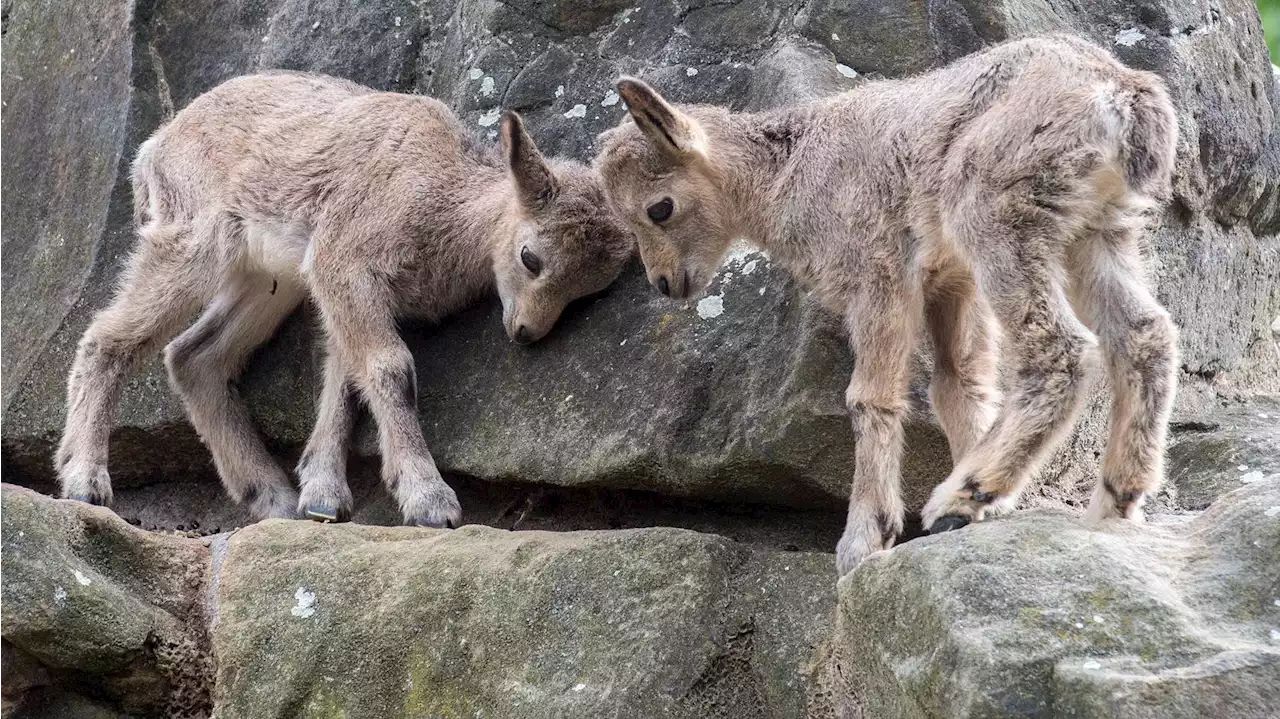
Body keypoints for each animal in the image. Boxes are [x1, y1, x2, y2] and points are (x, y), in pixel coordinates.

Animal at [56, 72, 634, 527]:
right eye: (530, 257)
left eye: (586, 292)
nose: (526, 331)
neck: (442, 196)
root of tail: (153, 149)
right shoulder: (346, 263)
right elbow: (389, 368)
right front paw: (430, 501)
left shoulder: (337, 287)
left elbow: (345, 378)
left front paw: (322, 496)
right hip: (190, 240)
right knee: (108, 337)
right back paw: (85, 480)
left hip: (268, 280)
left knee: (193, 356)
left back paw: (271, 495)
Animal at [596, 33, 1177, 573]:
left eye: (659, 208)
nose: (665, 282)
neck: (789, 176)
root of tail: (1123, 92)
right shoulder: (949, 283)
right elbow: (957, 386)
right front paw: (981, 514)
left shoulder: (879, 275)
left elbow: (869, 397)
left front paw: (866, 539)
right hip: (1096, 230)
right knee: (1145, 333)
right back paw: (1114, 498)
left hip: (995, 215)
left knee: (1061, 349)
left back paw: (963, 494)